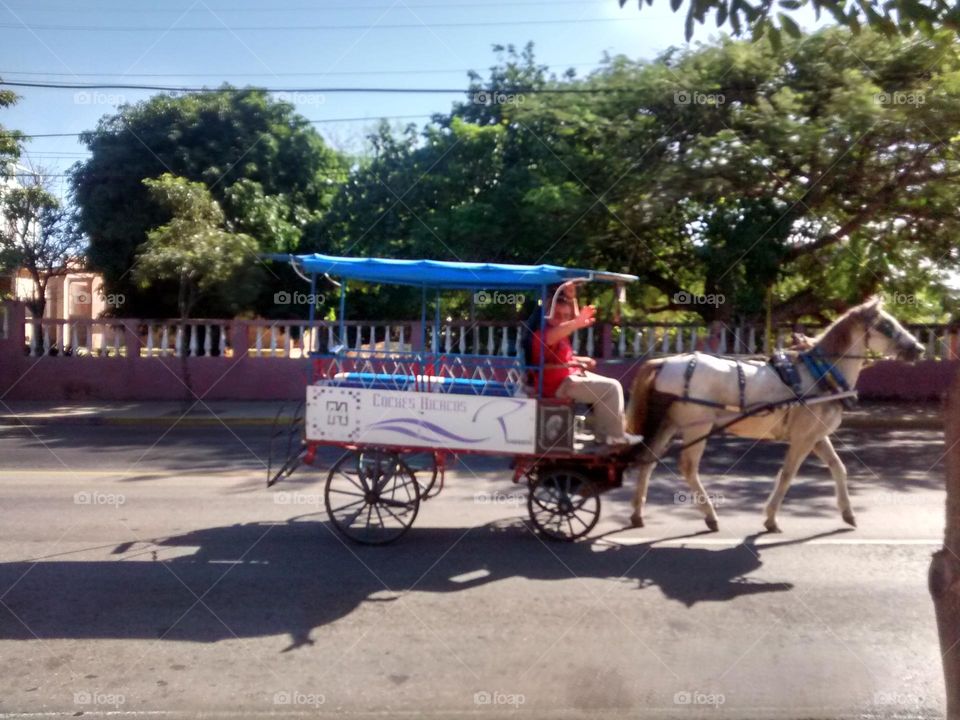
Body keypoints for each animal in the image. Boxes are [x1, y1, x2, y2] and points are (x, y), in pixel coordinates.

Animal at [628, 296, 928, 532]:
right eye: (886, 326)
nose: (919, 349)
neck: (821, 374)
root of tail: (664, 362)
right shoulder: (803, 438)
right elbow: (788, 474)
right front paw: (771, 518)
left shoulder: (817, 436)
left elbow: (838, 468)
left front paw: (848, 513)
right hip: (696, 426)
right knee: (688, 467)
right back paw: (710, 516)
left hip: (668, 423)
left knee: (647, 461)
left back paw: (637, 514)